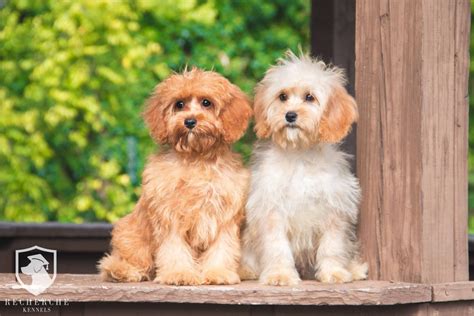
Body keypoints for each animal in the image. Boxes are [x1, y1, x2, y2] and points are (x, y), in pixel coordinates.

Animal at [241, 52, 366, 286]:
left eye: (310, 97)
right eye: (282, 96)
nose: (290, 115)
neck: (299, 153)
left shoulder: (334, 208)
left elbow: (332, 246)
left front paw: (334, 272)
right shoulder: (272, 209)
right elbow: (277, 247)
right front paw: (280, 274)